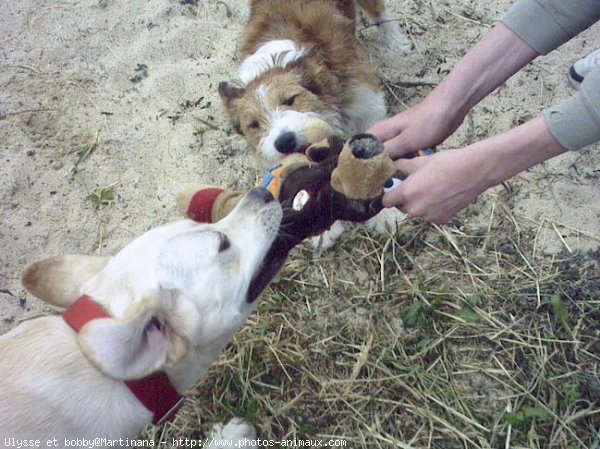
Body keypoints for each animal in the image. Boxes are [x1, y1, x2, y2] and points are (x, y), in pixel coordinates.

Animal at [220, 0, 412, 161]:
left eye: (290, 100)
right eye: (254, 124)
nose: (285, 142)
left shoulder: (366, 100)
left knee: (380, 12)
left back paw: (396, 42)